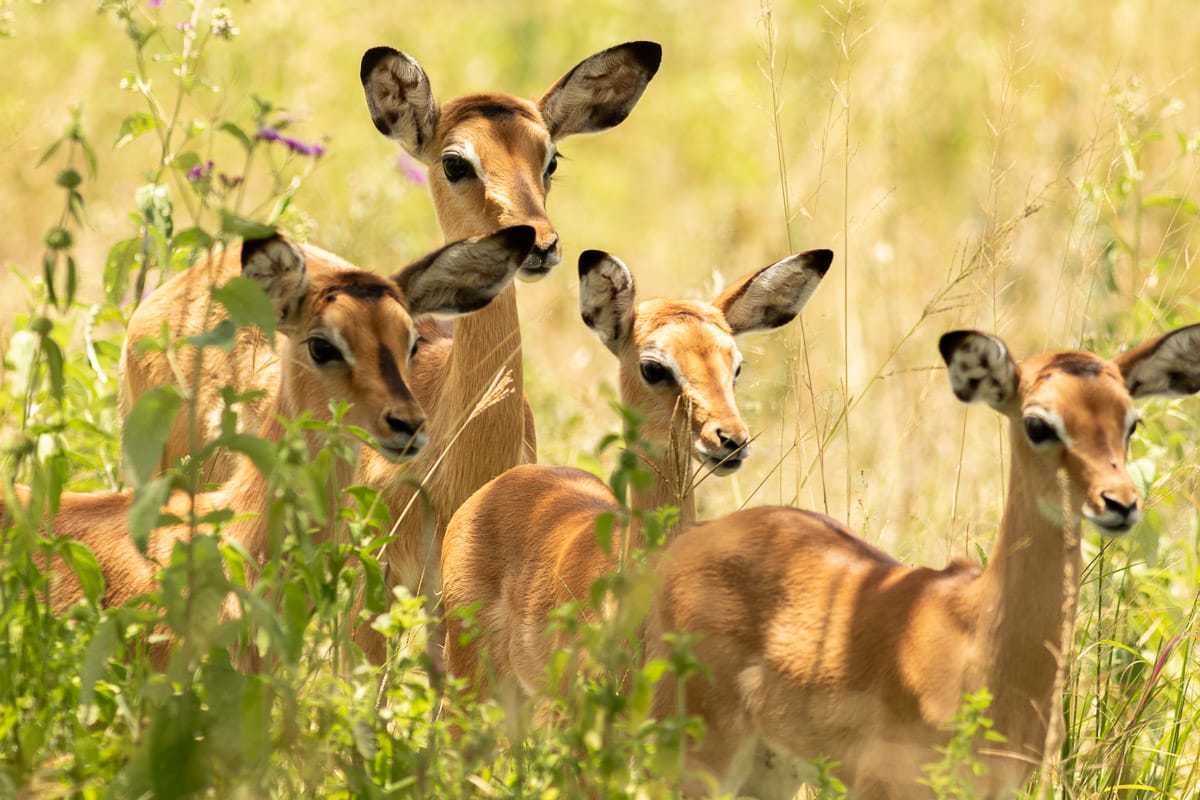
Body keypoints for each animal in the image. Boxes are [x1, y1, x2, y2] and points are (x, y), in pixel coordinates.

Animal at [642, 325, 1200, 798]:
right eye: (1038, 423)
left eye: (1131, 421)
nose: (1120, 503)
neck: (977, 639)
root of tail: (684, 543)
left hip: (768, 771)